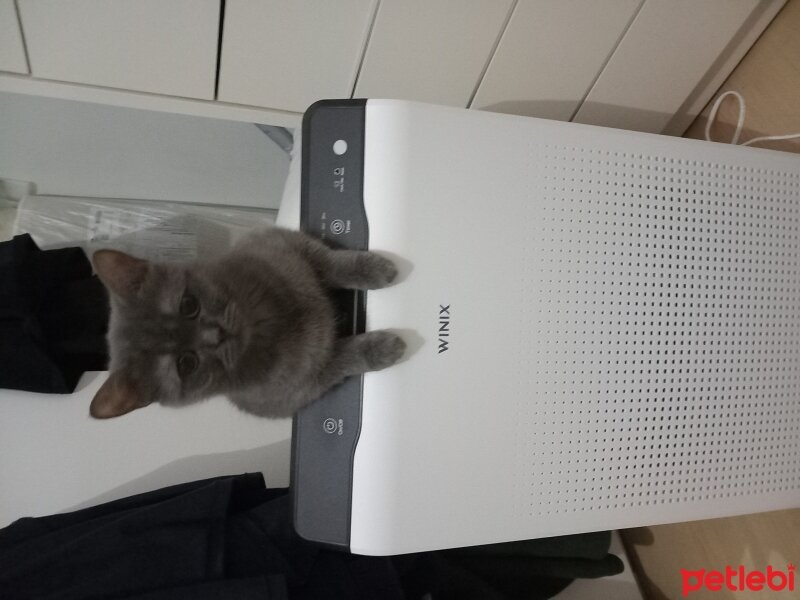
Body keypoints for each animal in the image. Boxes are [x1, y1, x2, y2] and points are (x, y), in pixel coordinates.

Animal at [90, 227, 406, 420]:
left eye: (188, 305)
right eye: (186, 363)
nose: (216, 334)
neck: (269, 322)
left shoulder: (285, 242)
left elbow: (332, 262)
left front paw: (377, 269)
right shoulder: (308, 380)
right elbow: (349, 357)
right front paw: (385, 348)